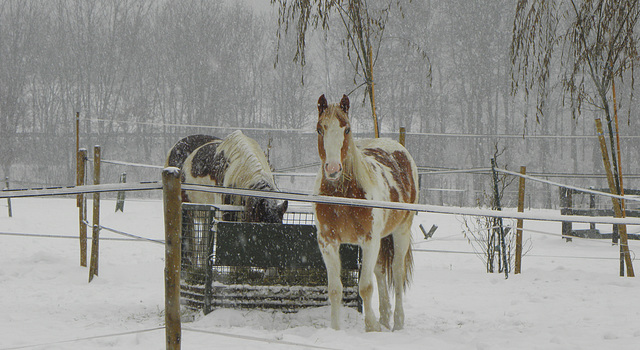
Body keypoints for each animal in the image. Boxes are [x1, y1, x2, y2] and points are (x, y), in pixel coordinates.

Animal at [312, 93, 418, 330]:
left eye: (347, 129)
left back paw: (397, 323)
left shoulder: (369, 240)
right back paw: (385, 319)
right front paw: (336, 330)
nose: (333, 169)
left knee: (396, 273)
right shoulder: (327, 242)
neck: (344, 197)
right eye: (320, 129)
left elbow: (365, 287)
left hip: (401, 231)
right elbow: (335, 289)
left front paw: (371, 328)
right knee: (380, 272)